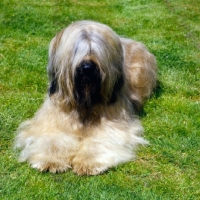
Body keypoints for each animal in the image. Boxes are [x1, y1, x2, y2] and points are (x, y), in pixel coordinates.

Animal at [14, 20, 157, 175]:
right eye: (76, 50)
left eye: (96, 50)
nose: (87, 67)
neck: (85, 102)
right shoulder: (53, 119)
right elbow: (52, 138)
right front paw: (50, 160)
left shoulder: (113, 122)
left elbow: (100, 139)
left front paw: (88, 162)